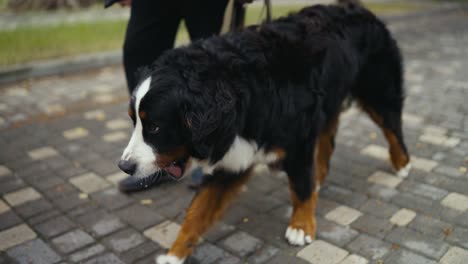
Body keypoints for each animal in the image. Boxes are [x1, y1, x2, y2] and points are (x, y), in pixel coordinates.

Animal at [118, 1, 410, 262]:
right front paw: (174, 254)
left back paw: (402, 163)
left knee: (393, 129)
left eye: (155, 127)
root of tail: (360, 8)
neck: (242, 92)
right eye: (134, 121)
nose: (124, 166)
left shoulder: (298, 141)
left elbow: (300, 187)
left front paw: (301, 226)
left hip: (378, 90)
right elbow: (196, 213)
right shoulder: (234, 158)